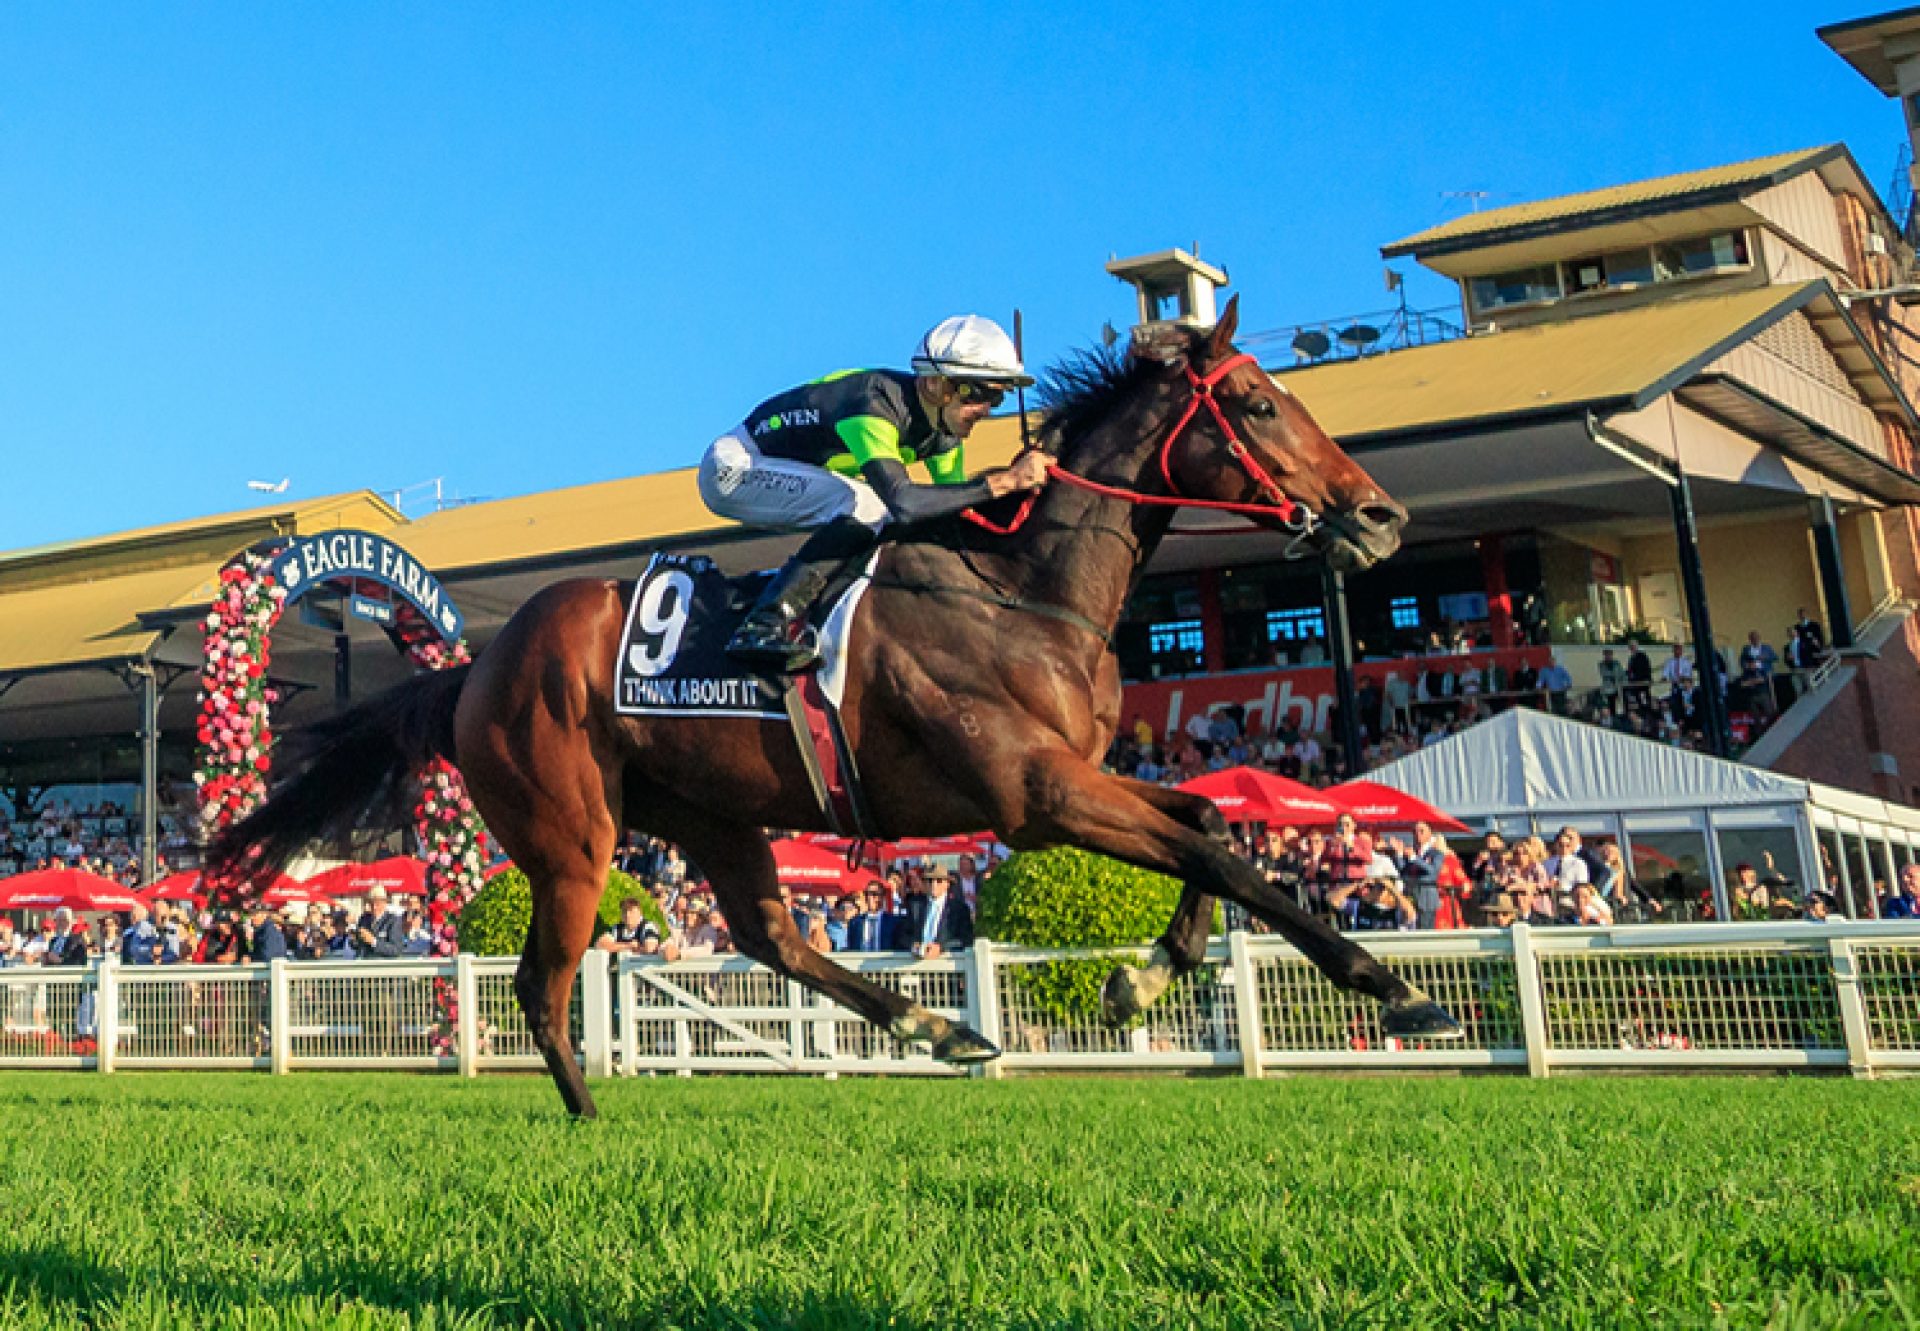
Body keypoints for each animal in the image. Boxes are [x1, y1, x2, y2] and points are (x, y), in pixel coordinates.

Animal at [210, 297, 1459, 1113]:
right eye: (1253, 401)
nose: (1382, 517)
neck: (1023, 587)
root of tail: (477, 663)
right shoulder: (1035, 795)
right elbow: (1227, 851)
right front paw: (1396, 991)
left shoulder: (1069, 785)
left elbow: (1206, 822)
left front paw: (1137, 976)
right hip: (573, 831)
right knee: (541, 976)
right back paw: (589, 1110)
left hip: (707, 812)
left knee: (772, 933)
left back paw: (936, 1023)